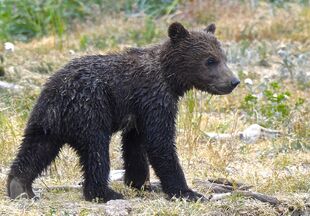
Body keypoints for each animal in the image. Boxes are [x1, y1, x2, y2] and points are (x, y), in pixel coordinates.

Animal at [7, 22, 240, 202]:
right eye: (210, 60)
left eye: (223, 57)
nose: (233, 81)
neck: (171, 79)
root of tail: (58, 99)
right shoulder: (155, 97)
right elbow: (160, 142)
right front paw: (187, 192)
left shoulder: (139, 110)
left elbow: (135, 145)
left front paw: (141, 183)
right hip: (90, 111)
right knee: (96, 152)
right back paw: (104, 193)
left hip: (44, 122)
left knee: (35, 150)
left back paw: (20, 187)